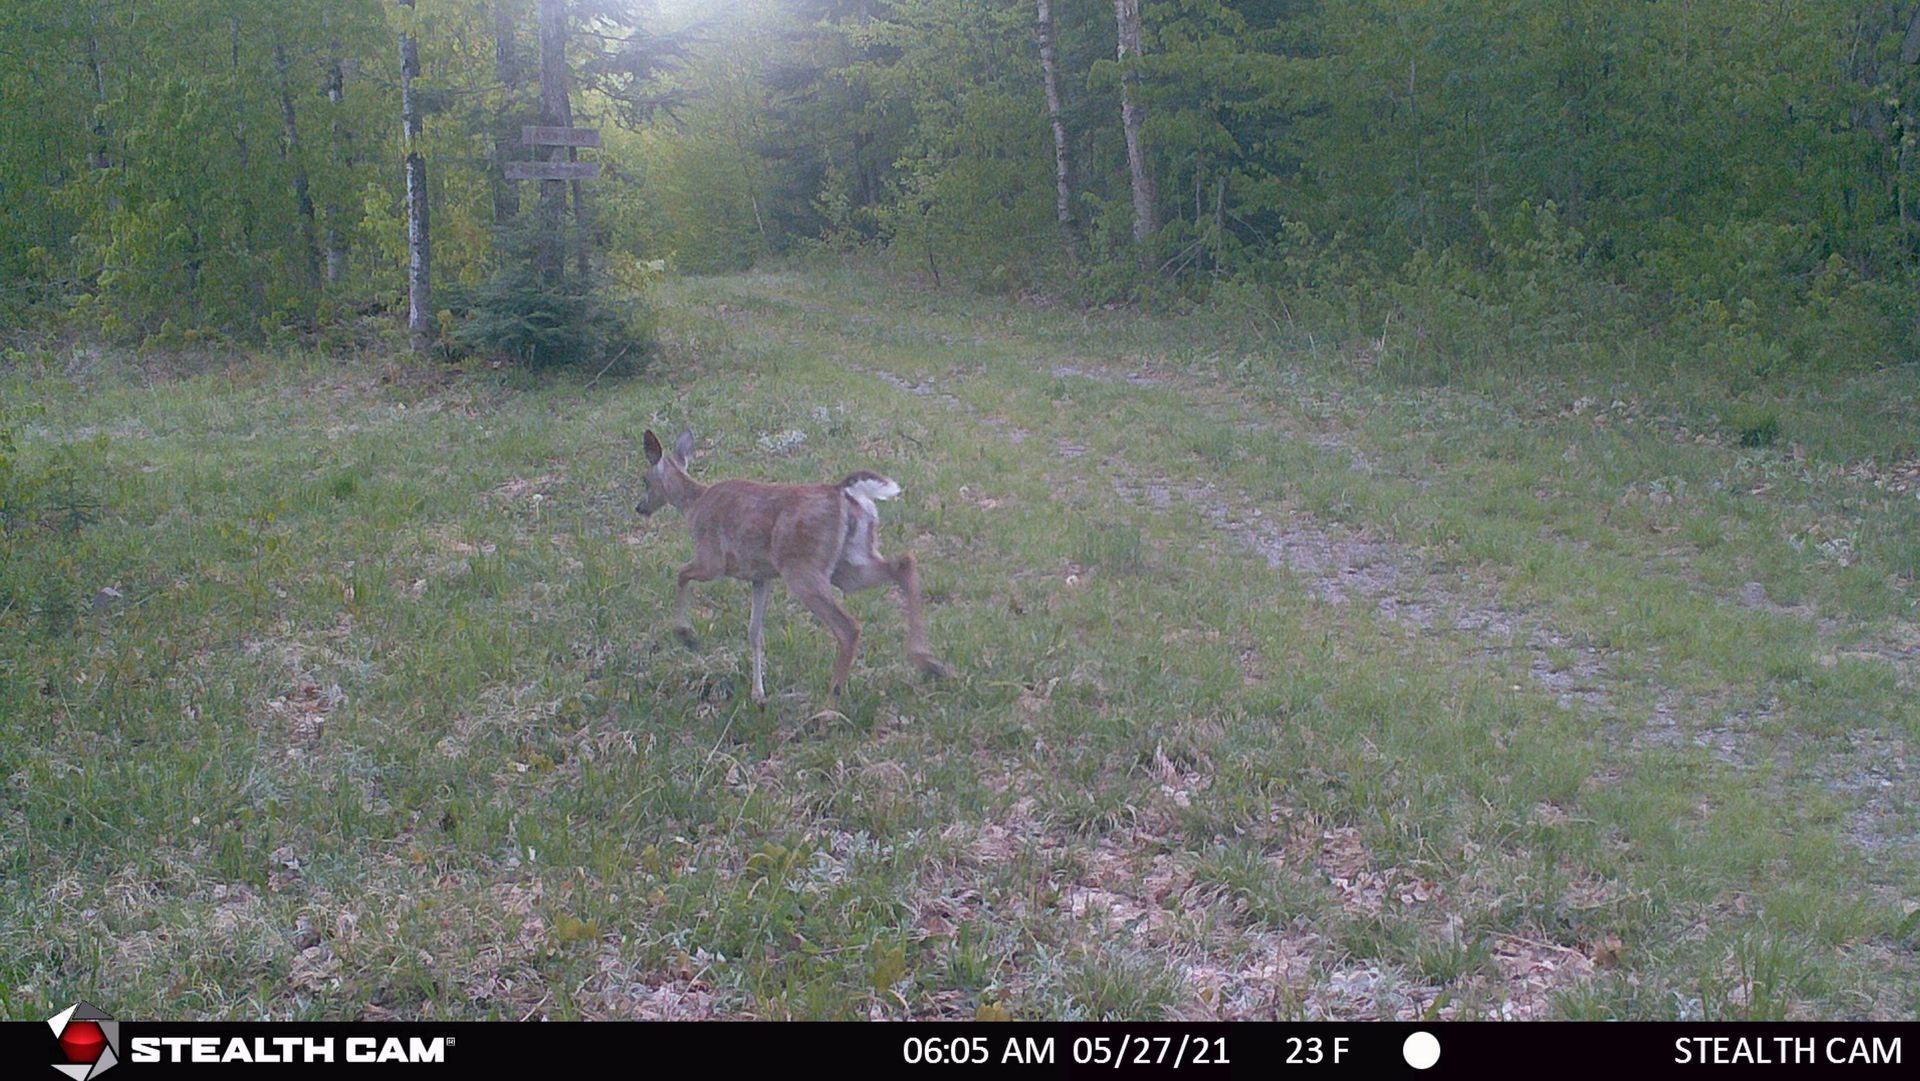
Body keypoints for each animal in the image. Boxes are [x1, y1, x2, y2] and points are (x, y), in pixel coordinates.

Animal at [635, 428, 953, 706]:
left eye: (645, 480)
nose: (640, 507)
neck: (694, 503)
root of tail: (843, 493)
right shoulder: (760, 576)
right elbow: (754, 631)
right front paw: (758, 693)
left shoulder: (711, 559)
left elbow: (681, 573)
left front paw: (685, 634)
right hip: (849, 564)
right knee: (904, 564)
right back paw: (929, 662)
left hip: (803, 570)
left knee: (849, 626)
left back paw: (831, 702)